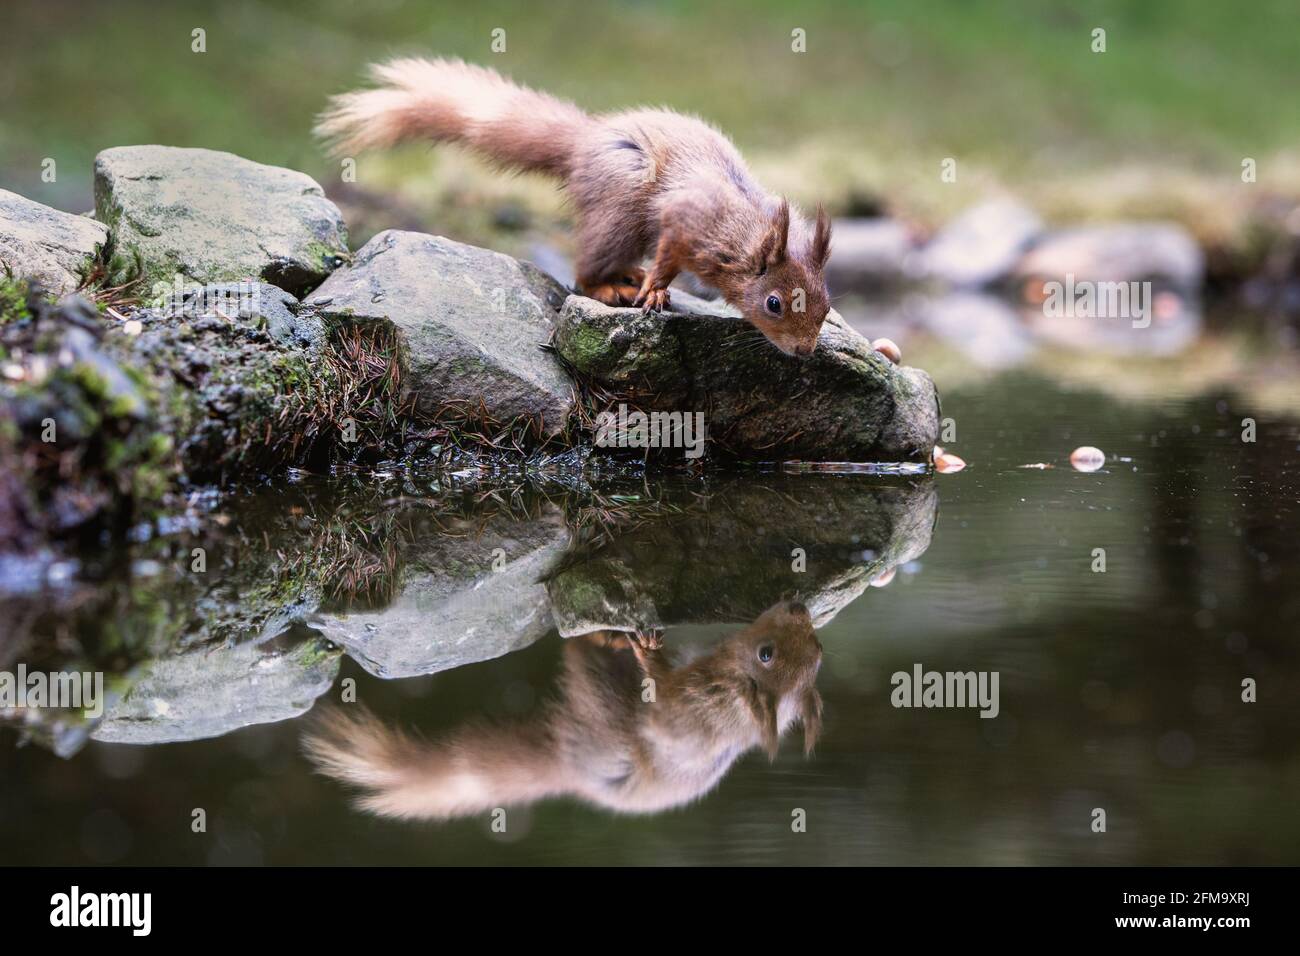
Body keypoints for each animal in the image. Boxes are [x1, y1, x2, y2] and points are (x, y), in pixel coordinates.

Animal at [302, 600, 824, 819]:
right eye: (819, 650)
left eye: (765, 655)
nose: (798, 605)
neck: (730, 696)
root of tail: (569, 771)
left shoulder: (682, 712)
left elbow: (659, 686)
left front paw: (649, 650)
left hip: (603, 708)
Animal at [317, 58, 834, 357]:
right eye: (773, 303)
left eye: (828, 306)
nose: (806, 352)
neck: (745, 234)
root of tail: (585, 142)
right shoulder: (687, 221)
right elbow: (668, 256)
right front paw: (656, 291)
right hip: (618, 215)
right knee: (585, 271)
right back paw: (614, 287)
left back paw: (627, 276)